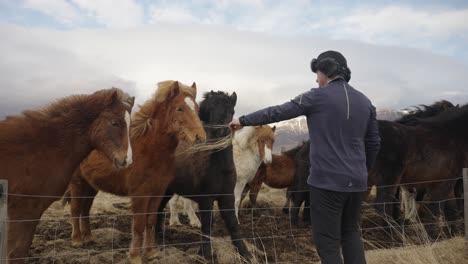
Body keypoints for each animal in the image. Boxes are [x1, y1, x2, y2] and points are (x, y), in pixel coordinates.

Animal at [155, 91, 252, 262]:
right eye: (210, 110)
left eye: (231, 110)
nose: (219, 133)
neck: (219, 167)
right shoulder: (206, 199)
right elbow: (207, 226)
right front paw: (206, 254)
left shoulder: (226, 197)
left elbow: (232, 225)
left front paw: (245, 253)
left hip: (168, 192)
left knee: (159, 211)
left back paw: (160, 239)